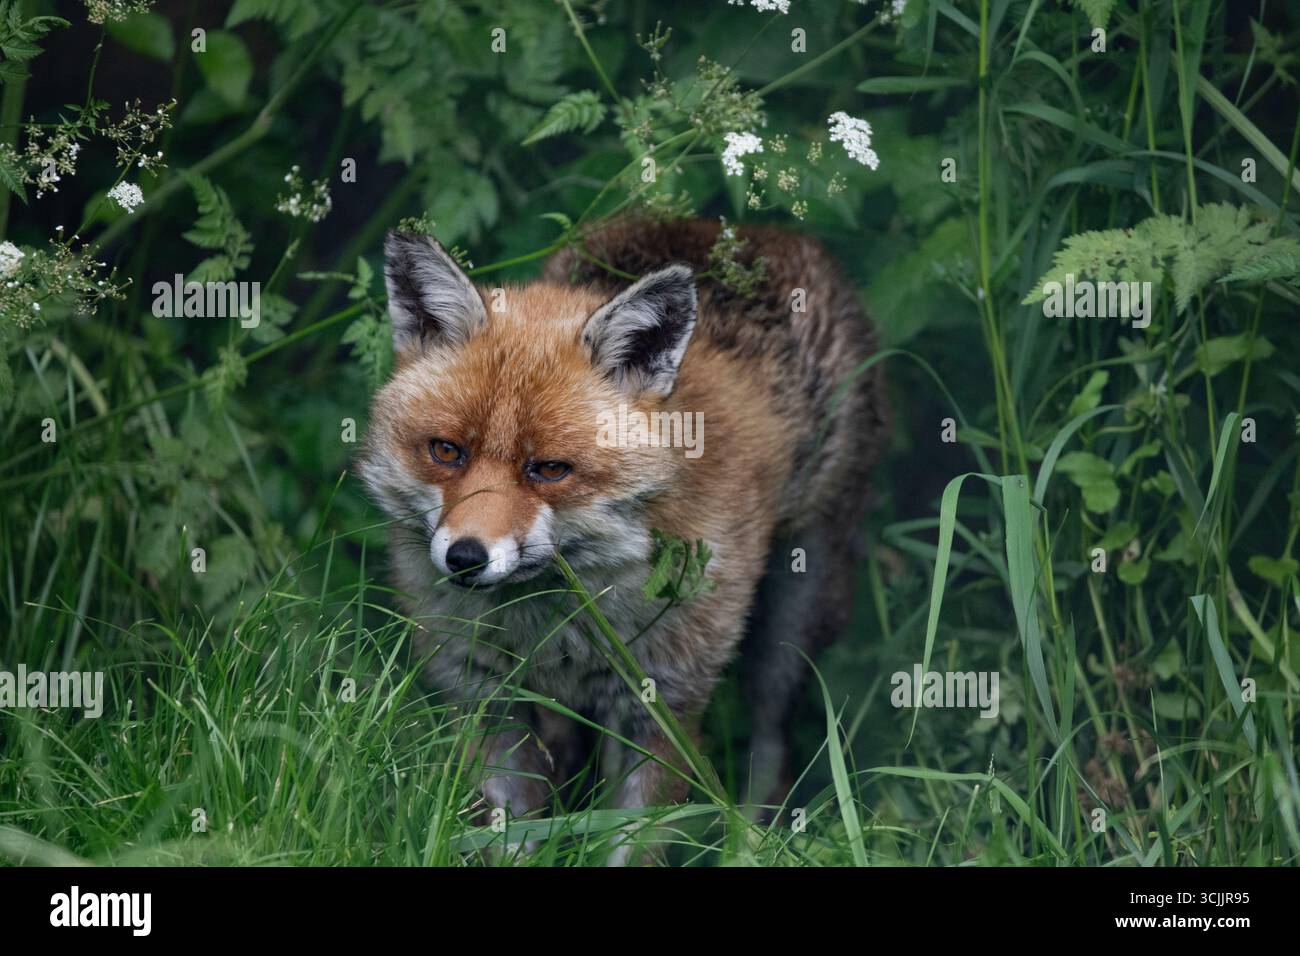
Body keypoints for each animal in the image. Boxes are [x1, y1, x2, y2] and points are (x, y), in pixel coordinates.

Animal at [358, 218, 887, 842]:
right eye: (446, 451)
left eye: (550, 469)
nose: (465, 556)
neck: (551, 627)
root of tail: (742, 227)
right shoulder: (481, 693)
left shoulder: (663, 705)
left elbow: (634, 838)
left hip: (790, 632)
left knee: (773, 748)